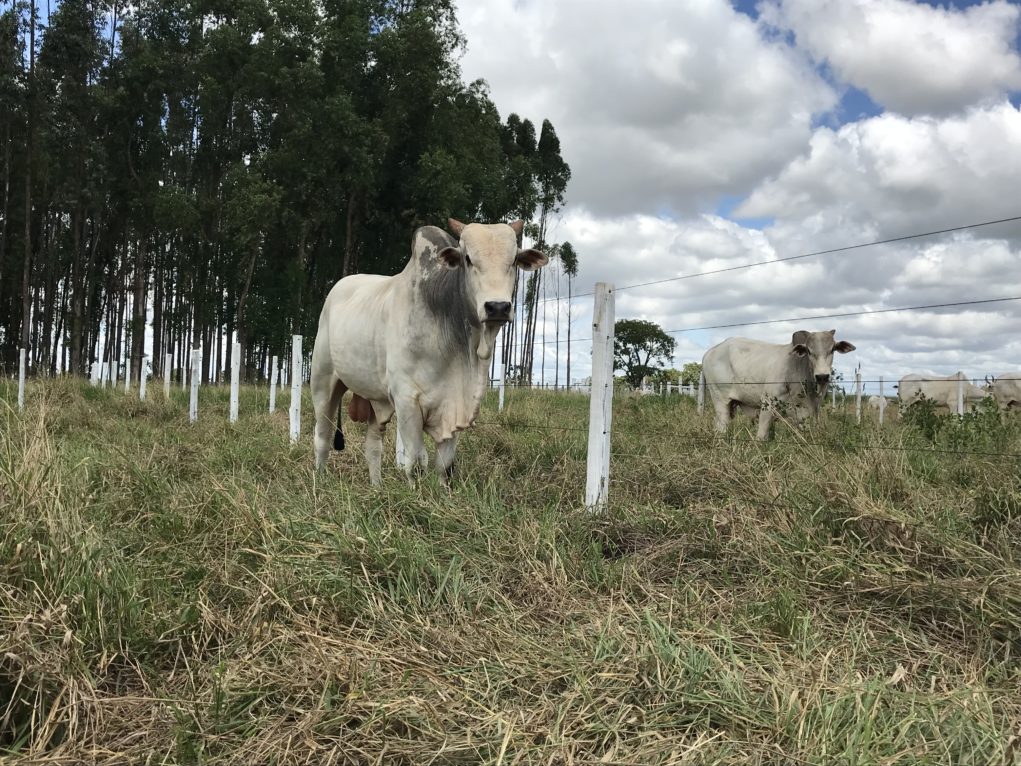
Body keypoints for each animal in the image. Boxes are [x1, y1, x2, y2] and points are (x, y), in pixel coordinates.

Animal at [310, 218, 547, 486]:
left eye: (514, 260)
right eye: (468, 258)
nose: (497, 307)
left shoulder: (454, 409)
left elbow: (444, 465)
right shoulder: (406, 401)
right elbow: (415, 462)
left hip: (375, 398)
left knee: (373, 445)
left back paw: (377, 487)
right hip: (323, 382)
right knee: (322, 436)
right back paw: (319, 481)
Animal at [702, 326, 853, 441]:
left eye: (832, 349)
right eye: (809, 351)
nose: (822, 376)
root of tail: (710, 352)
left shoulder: (808, 413)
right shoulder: (767, 404)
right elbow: (761, 437)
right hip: (721, 401)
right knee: (721, 428)